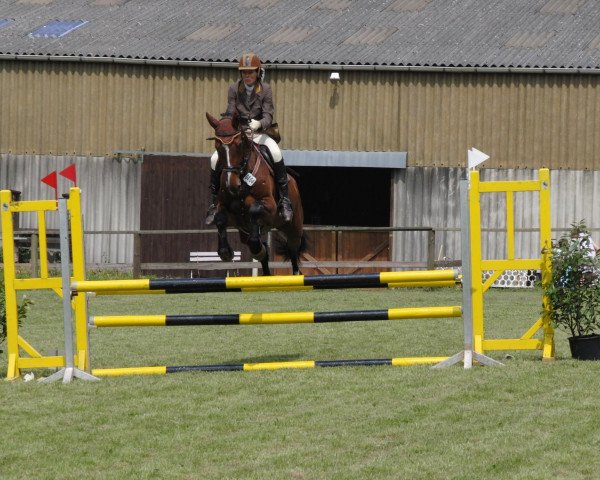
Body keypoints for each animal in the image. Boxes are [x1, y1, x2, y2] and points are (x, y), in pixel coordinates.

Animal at [205, 112, 304, 276]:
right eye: (217, 146)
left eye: (239, 144)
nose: (231, 185)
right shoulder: (226, 210)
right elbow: (219, 217)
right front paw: (226, 252)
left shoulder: (269, 205)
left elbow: (254, 210)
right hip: (244, 233)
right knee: (257, 246)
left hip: (293, 226)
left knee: (292, 248)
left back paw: (296, 273)